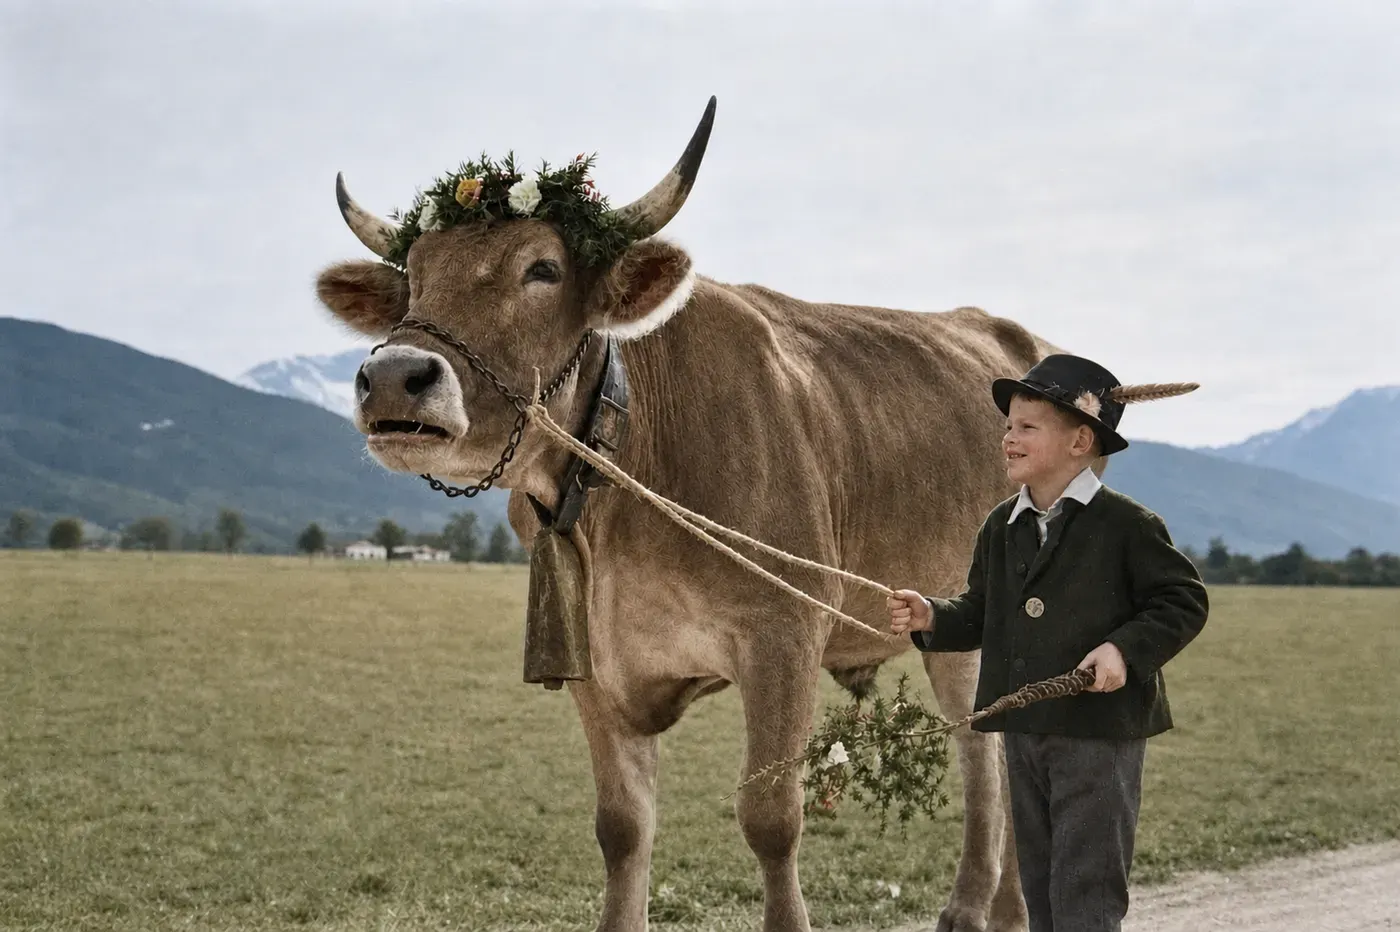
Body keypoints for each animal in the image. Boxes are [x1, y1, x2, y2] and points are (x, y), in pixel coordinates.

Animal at [315, 99, 1056, 932]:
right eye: (414, 275)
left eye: (543, 268)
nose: (392, 377)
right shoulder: (594, 656)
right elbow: (622, 826)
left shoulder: (783, 633)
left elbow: (771, 819)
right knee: (992, 748)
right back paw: (1002, 907)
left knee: (987, 752)